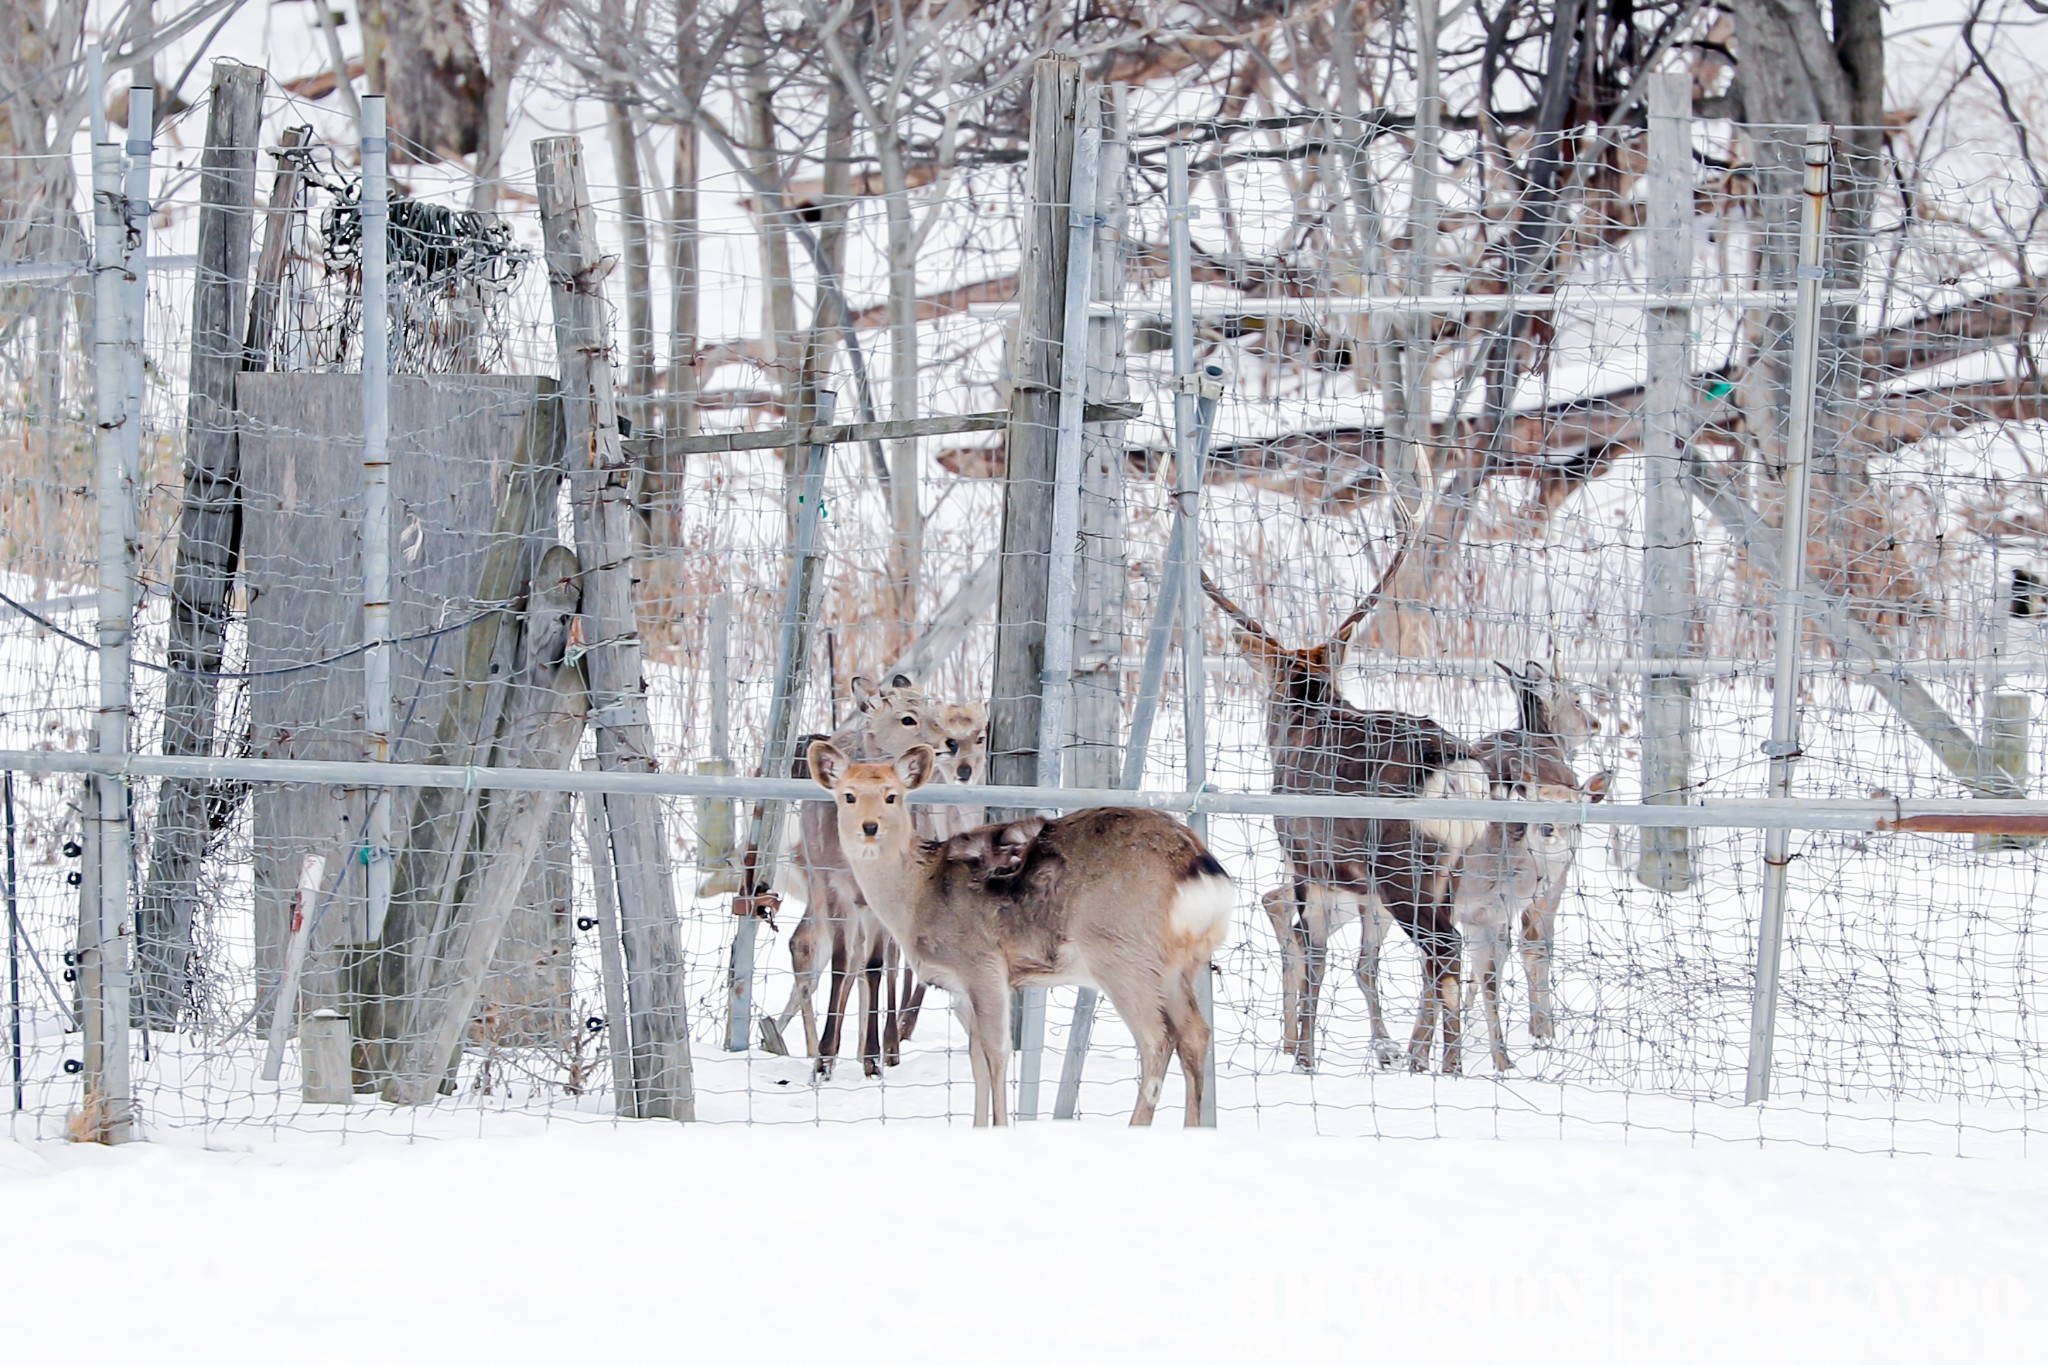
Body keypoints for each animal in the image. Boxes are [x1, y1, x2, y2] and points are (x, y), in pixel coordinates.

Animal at [806, 740, 1236, 1129]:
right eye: (848, 795)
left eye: (891, 796)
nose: (870, 827)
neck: (917, 893)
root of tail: (1201, 869)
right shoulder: (960, 987)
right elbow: (976, 1060)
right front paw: (979, 1126)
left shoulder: (982, 964)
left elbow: (997, 1053)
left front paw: (1001, 1126)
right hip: (1179, 964)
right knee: (1195, 1034)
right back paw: (1193, 1128)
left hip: (1122, 952)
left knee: (1156, 1039)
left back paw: (1138, 1126)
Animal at [1196, 560, 1490, 1072]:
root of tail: (1453, 769)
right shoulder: (1365, 892)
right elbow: (1365, 964)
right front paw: (1384, 1048)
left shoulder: (1308, 865)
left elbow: (1315, 959)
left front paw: (1304, 1060)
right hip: (1448, 869)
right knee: (1435, 957)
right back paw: (1427, 1058)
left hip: (1400, 868)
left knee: (1446, 949)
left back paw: (1449, 1068)